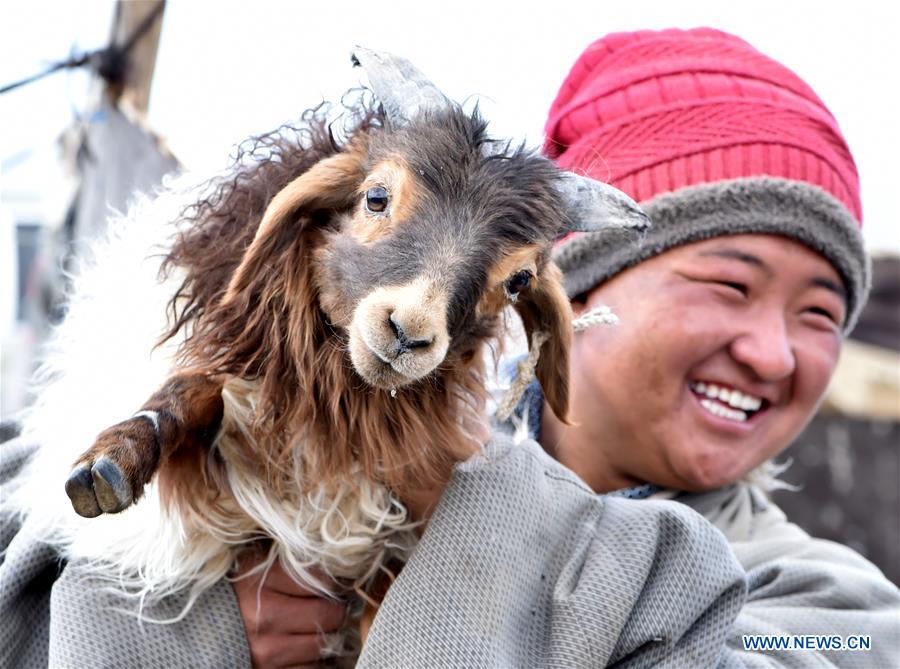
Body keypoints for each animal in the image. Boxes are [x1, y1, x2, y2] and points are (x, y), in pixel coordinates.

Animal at [56, 48, 649, 649]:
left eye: (519, 280)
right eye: (376, 197)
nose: (407, 332)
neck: (335, 409)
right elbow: (194, 392)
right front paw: (117, 456)